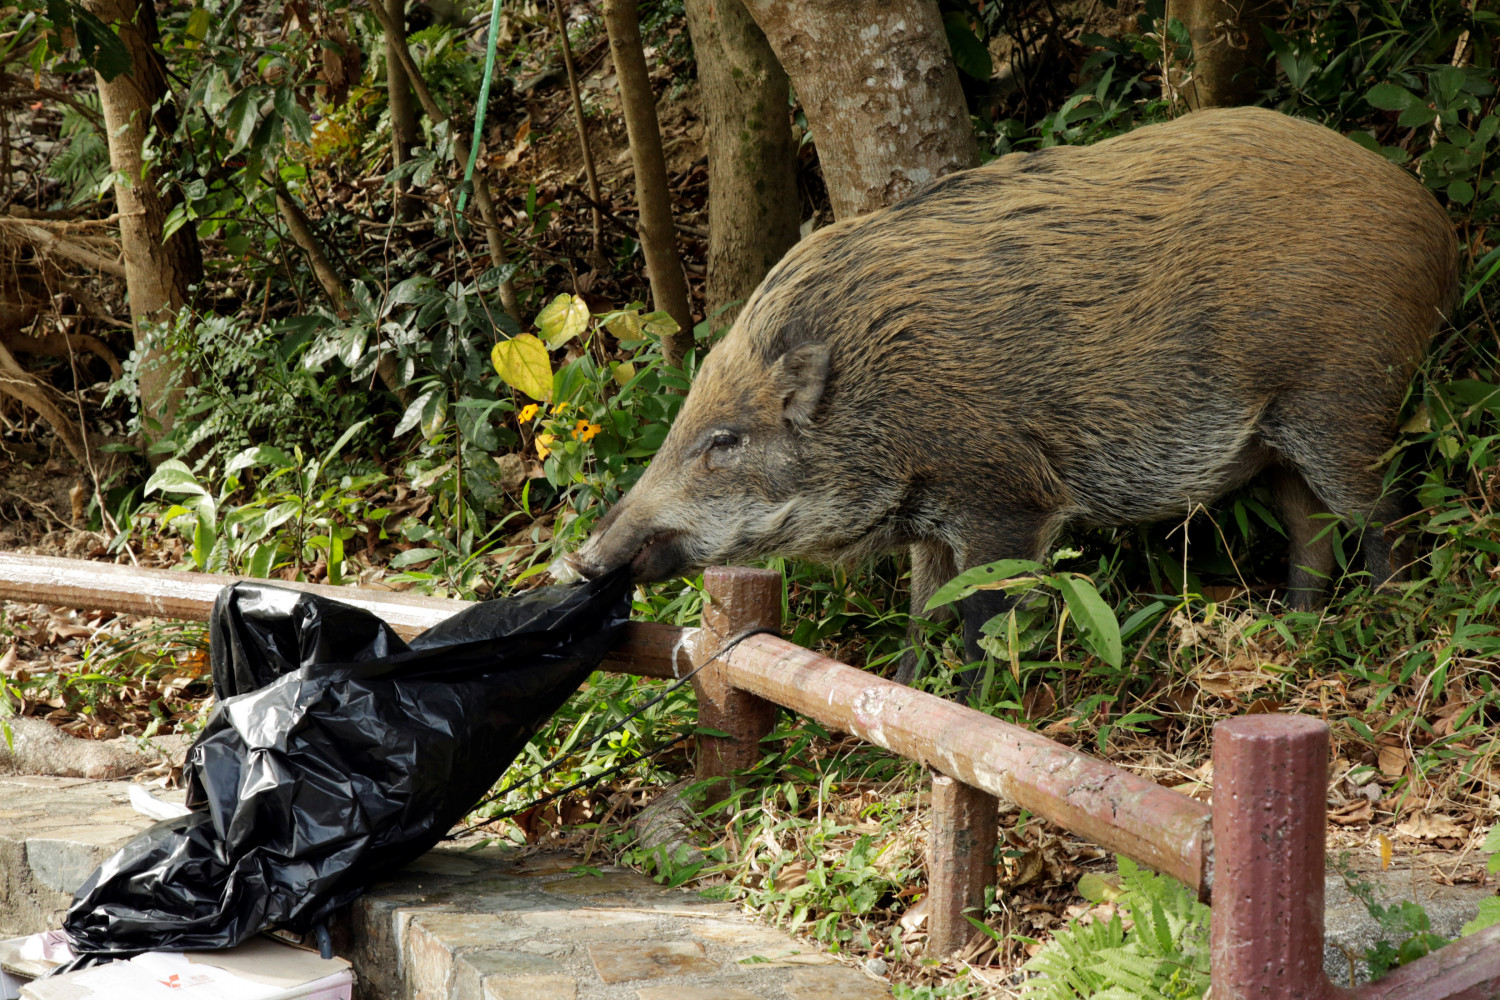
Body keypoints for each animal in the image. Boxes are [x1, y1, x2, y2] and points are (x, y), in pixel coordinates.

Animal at [568, 106, 1459, 686]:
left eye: (724, 442)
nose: (580, 558)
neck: (881, 405)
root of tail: (1429, 213)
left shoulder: (1004, 493)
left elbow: (983, 613)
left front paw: (973, 699)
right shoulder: (930, 519)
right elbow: (924, 609)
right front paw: (906, 685)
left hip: (1342, 396)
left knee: (1382, 513)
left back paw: (1395, 618)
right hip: (1273, 437)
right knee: (1310, 526)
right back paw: (1296, 624)